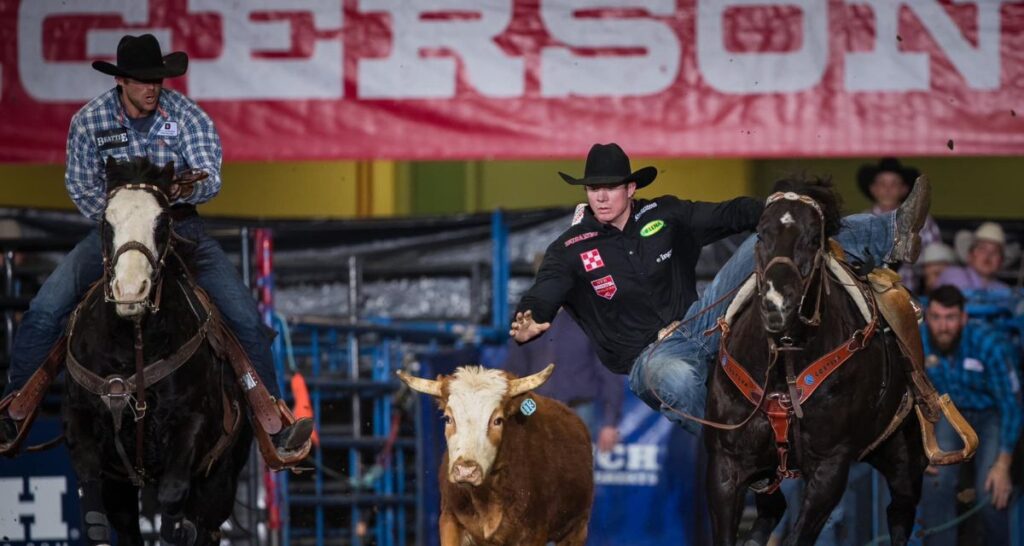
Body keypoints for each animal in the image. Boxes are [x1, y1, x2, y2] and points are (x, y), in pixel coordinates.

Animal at [704, 176, 929, 540]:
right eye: (760, 234)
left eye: (813, 239)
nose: (777, 303)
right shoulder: (726, 464)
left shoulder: (829, 468)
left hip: (903, 455)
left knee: (900, 511)